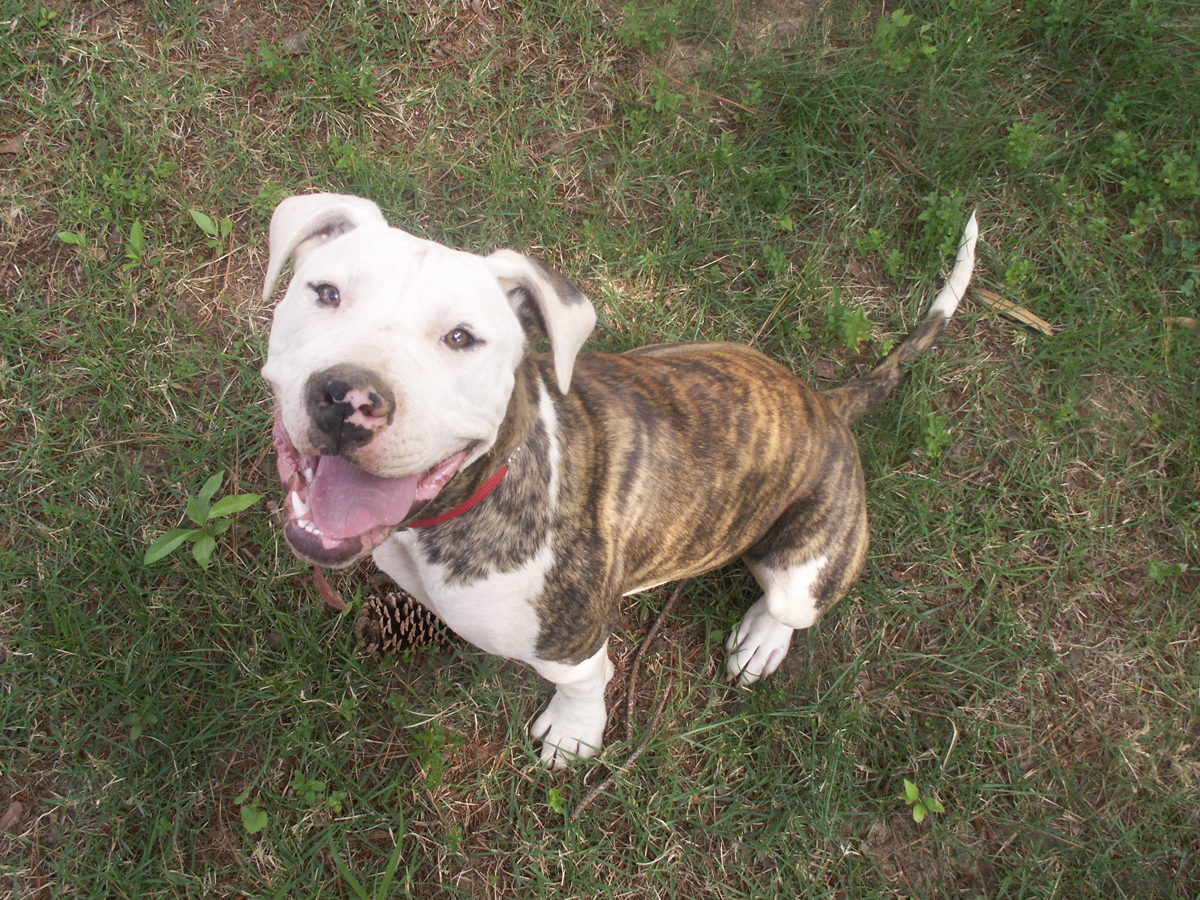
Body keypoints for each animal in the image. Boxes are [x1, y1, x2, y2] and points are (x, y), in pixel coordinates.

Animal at [260, 190, 974, 768]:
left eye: (461, 338)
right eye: (325, 292)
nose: (348, 396)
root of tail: (825, 405)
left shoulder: (572, 645)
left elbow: (582, 685)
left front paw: (573, 736)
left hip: (804, 566)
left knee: (791, 604)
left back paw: (761, 639)